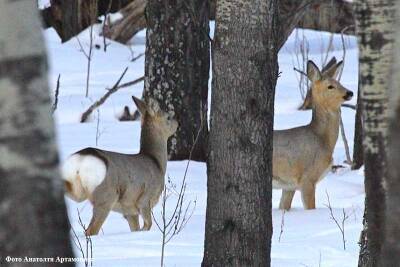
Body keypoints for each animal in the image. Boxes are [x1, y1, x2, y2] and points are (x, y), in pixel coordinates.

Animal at [63, 97, 178, 236]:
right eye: (168, 117)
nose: (177, 123)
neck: (156, 162)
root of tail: (81, 160)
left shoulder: (129, 211)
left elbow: (135, 229)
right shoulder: (145, 198)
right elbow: (147, 225)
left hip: (76, 188)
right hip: (106, 195)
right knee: (91, 230)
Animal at [276, 59, 354, 211]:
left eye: (339, 82)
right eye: (330, 86)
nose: (350, 92)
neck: (322, 139)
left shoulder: (289, 186)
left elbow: (283, 207)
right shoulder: (307, 178)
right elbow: (311, 208)